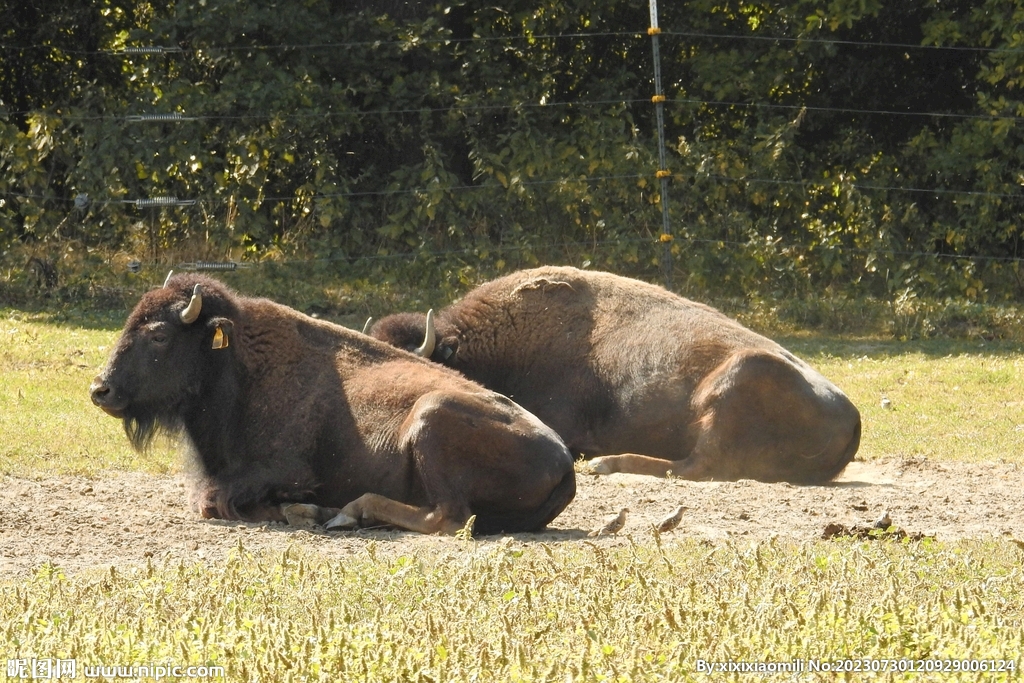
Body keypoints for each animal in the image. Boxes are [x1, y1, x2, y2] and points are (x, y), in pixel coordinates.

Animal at [88, 274, 577, 536]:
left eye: (159, 335)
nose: (100, 390)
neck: (237, 363)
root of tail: (564, 460)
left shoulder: (285, 471)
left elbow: (215, 499)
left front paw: (299, 510)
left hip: (432, 415)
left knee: (449, 517)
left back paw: (346, 513)